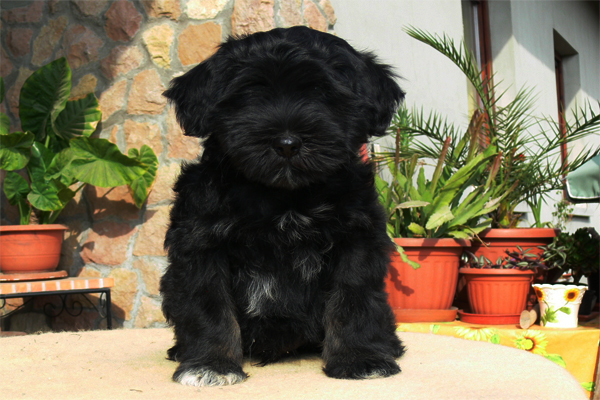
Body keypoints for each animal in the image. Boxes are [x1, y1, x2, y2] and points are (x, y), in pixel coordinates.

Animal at [161, 25, 404, 388]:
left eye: (322, 93)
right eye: (250, 95)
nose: (287, 143)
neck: (283, 198)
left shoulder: (356, 239)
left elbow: (353, 299)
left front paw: (360, 357)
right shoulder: (201, 243)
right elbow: (209, 306)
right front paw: (211, 364)